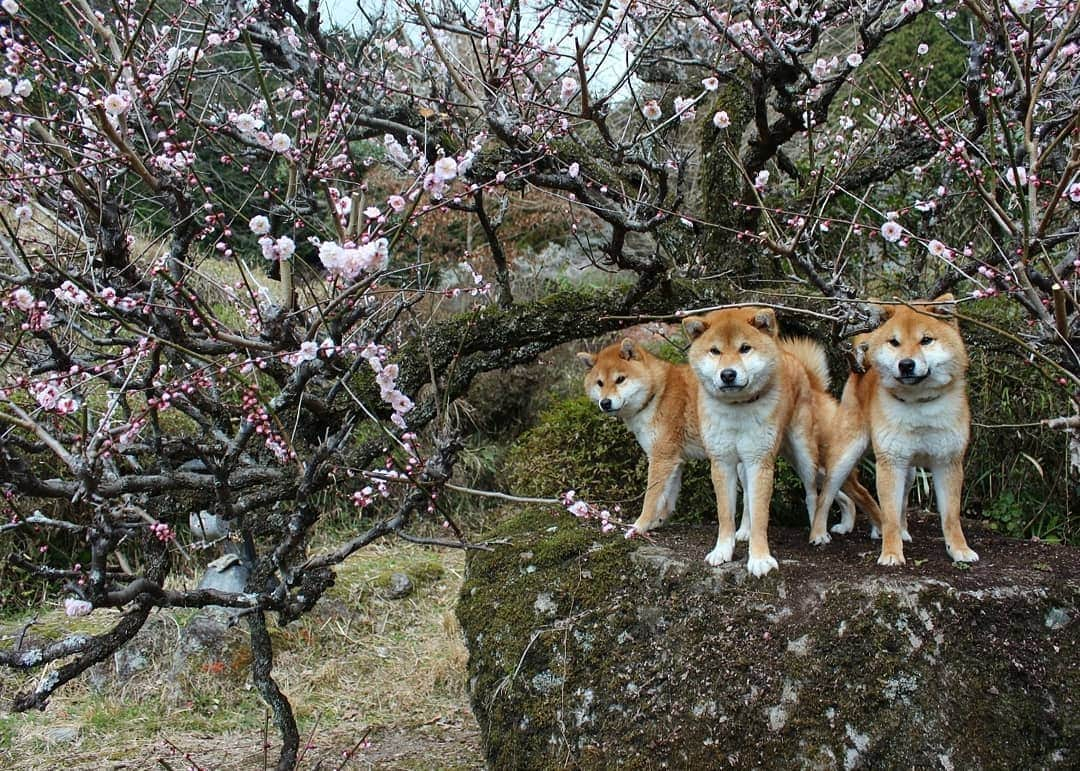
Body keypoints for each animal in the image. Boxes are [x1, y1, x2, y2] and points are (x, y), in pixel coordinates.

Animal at [574, 339, 708, 537]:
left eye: (620, 379)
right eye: (599, 383)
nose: (605, 403)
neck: (658, 393)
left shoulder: (661, 458)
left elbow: (650, 498)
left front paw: (640, 525)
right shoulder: (673, 459)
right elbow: (667, 499)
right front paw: (658, 521)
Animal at [812, 293, 980, 565]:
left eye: (926, 340)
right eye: (894, 342)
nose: (906, 364)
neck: (919, 404)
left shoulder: (948, 462)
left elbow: (951, 516)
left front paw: (959, 549)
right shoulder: (890, 463)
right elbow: (888, 515)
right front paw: (891, 553)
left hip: (909, 472)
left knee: (902, 504)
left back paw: (904, 532)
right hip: (845, 457)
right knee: (825, 496)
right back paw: (818, 533)